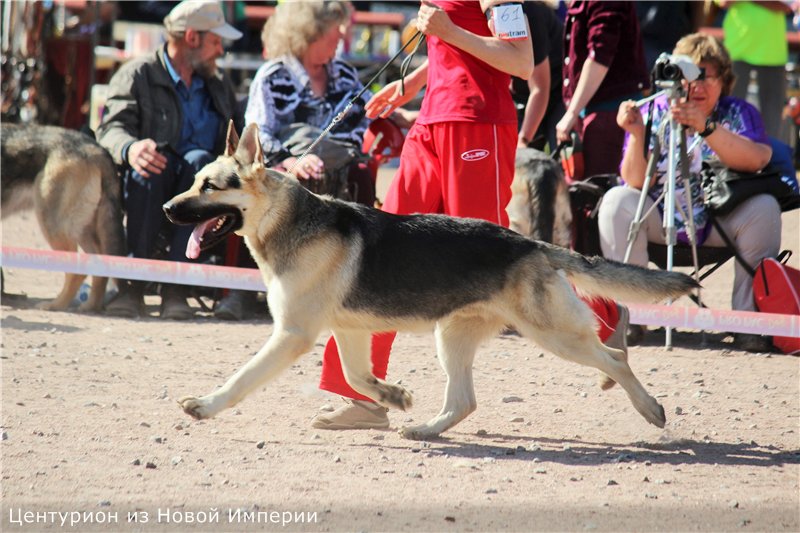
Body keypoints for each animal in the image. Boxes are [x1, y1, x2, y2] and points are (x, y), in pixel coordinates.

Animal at [0, 122, 126, 310]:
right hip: (81, 230)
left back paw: (55, 305)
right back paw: (90, 307)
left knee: (77, 271)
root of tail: (96, 148)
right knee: (98, 265)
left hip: (52, 226)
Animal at [161, 122, 692, 438]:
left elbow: (242, 378)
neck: (285, 219)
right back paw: (426, 430)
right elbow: (355, 375)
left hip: (554, 335)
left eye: (209, 186)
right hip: (452, 338)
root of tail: (532, 245)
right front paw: (393, 397)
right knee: (465, 401)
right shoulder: (346, 332)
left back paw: (649, 408)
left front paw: (205, 405)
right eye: (193, 181)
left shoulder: (292, 335)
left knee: (615, 358)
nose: (166, 208)